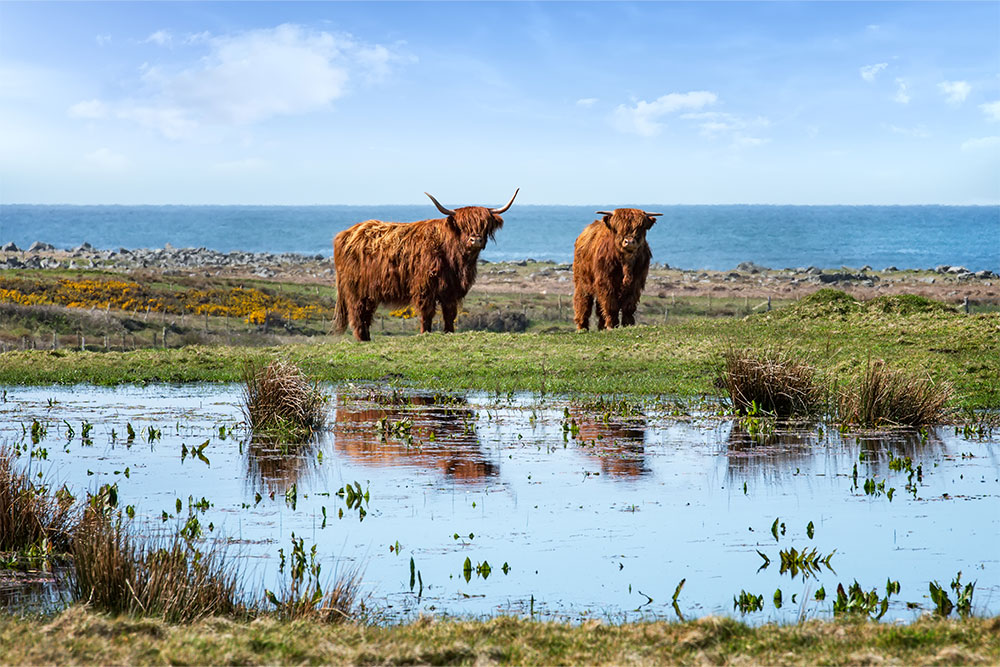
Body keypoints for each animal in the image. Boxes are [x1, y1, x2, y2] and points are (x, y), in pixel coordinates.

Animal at [334, 190, 519, 341]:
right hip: (356, 289)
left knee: (366, 314)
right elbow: (427, 313)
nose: (475, 240)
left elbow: (449, 314)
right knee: (358, 313)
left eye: (484, 224)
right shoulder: (425, 287)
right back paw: (362, 339)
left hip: (370, 292)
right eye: (462, 225)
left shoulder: (451, 290)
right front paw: (425, 334)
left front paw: (449, 332)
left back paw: (367, 338)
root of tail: (346, 233)